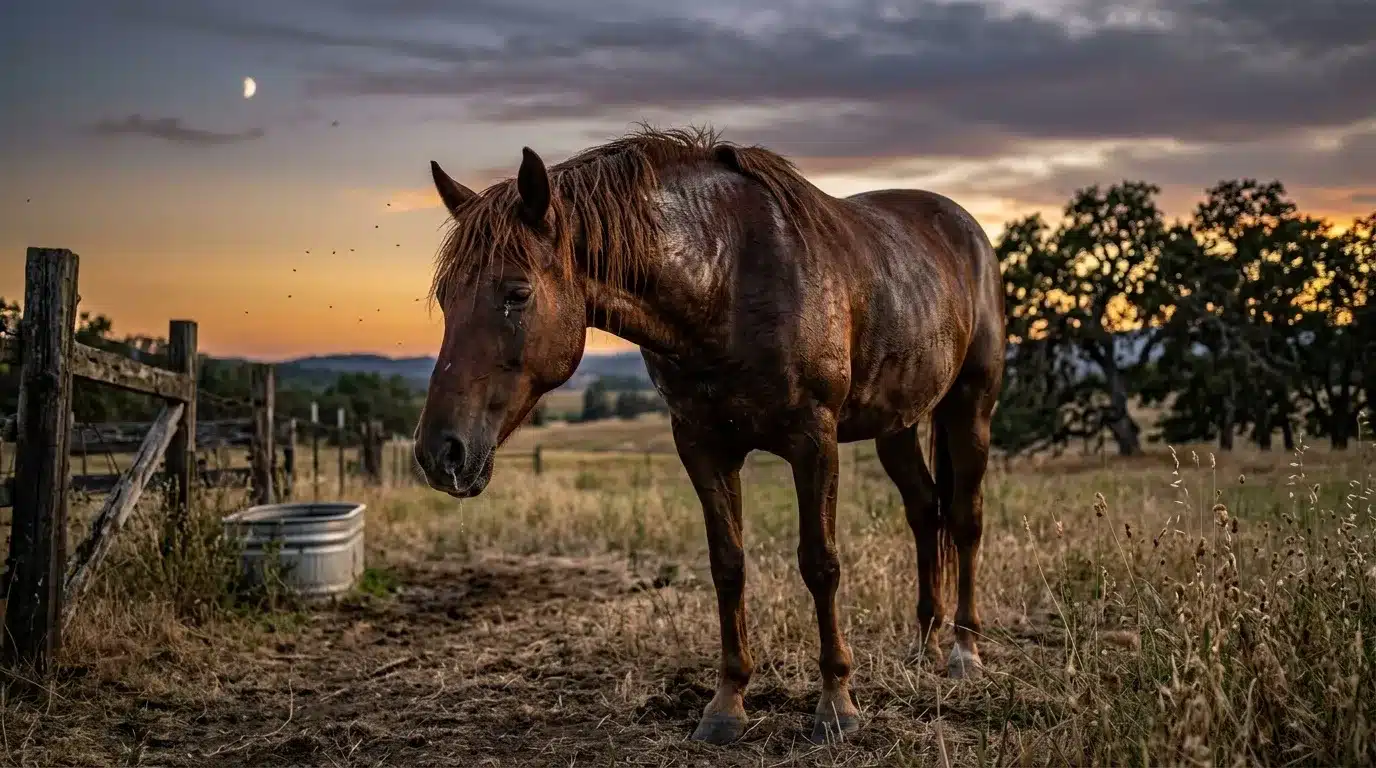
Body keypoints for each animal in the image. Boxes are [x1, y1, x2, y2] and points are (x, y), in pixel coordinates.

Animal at [414, 127, 1006, 745]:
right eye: (446, 296)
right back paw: (925, 644)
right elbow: (728, 564)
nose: (440, 453)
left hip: (971, 407)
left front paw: (836, 704)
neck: (728, 282)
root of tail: (967, 228)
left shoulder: (813, 440)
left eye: (518, 293)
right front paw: (727, 704)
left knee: (964, 518)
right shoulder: (701, 446)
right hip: (898, 425)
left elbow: (820, 563)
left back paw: (964, 652)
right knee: (924, 511)